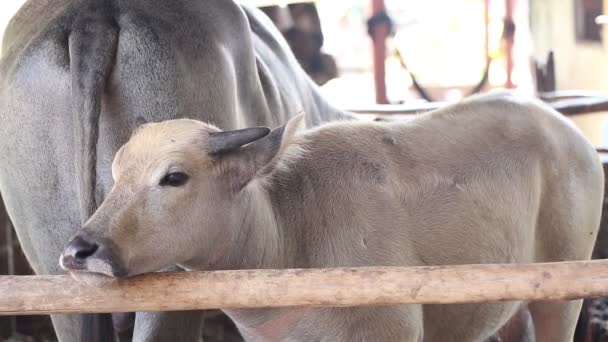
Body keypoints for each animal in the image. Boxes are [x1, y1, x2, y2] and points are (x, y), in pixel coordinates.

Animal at [60, 93, 604, 342]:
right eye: (116, 172)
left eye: (174, 177)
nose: (79, 250)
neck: (288, 240)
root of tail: (572, 136)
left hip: (563, 293)